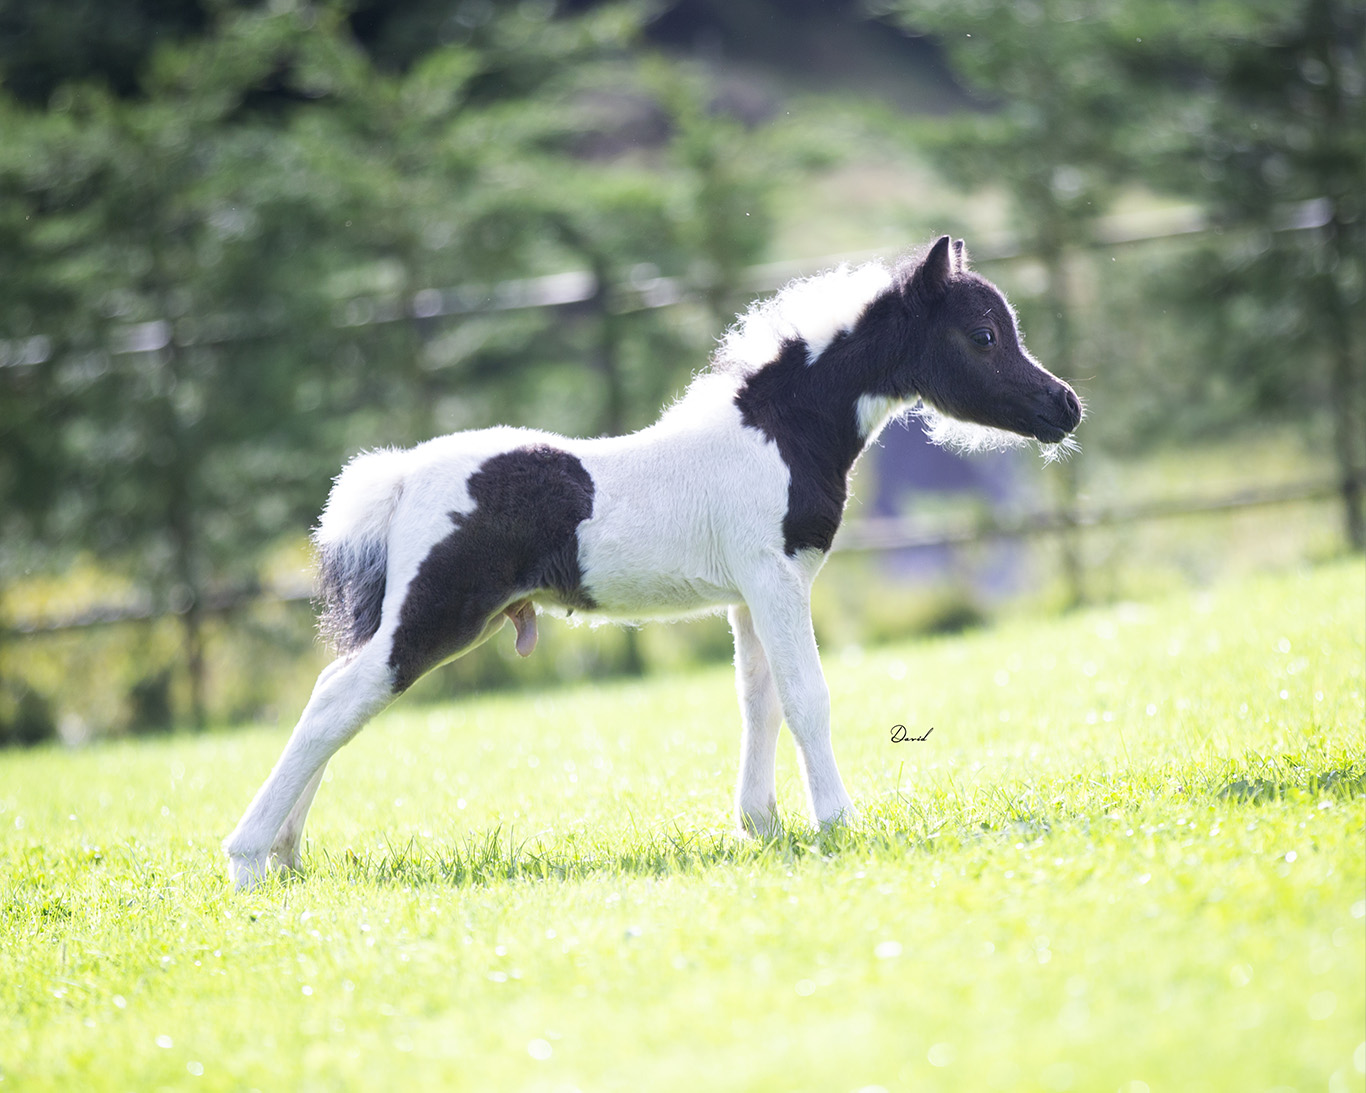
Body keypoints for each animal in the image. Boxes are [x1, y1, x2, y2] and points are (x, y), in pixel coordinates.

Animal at [224, 235, 1083, 890]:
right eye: (983, 335)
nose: (1065, 406)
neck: (777, 430)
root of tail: (399, 476)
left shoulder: (751, 594)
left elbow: (759, 702)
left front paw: (762, 825)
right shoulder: (774, 579)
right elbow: (808, 697)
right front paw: (838, 821)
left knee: (336, 696)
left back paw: (286, 853)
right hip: (438, 614)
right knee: (338, 699)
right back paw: (247, 861)